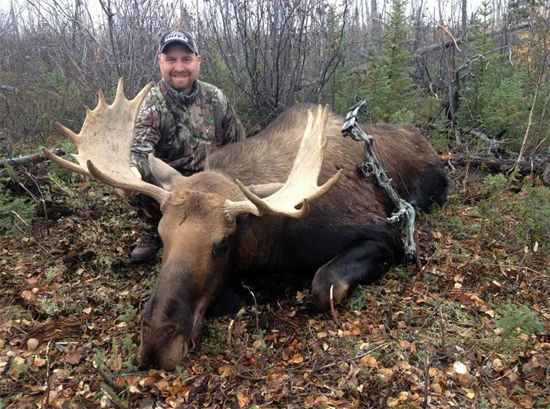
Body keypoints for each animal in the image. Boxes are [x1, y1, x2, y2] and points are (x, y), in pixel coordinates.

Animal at [43, 79, 448, 370]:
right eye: (162, 234)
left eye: (222, 242)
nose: (157, 343)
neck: (273, 240)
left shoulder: (382, 231)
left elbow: (323, 285)